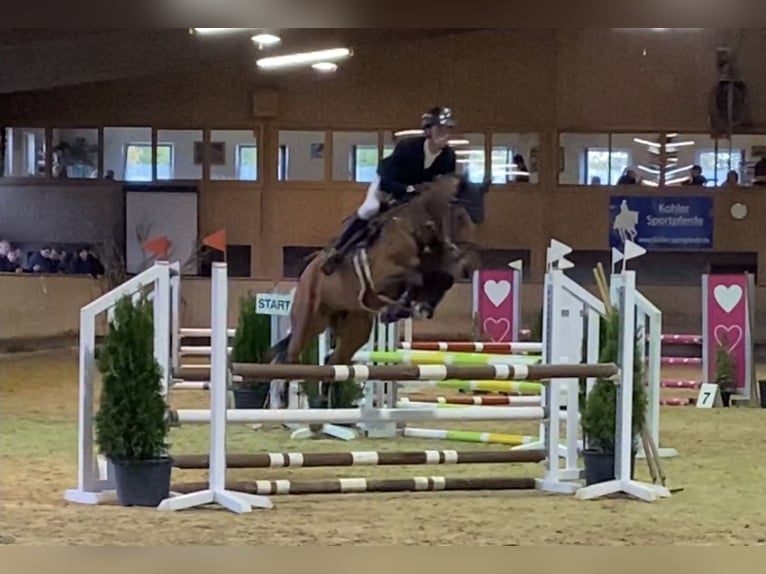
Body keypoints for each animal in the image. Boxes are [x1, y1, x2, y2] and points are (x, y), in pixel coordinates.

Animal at [270, 173, 490, 405]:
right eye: (459, 215)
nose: (466, 266)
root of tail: (307, 272)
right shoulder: (382, 275)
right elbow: (415, 275)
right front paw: (401, 308)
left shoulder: (437, 271)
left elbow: (440, 279)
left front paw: (416, 306)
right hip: (309, 318)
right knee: (291, 357)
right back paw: (283, 395)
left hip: (356, 327)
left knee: (334, 360)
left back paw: (323, 403)